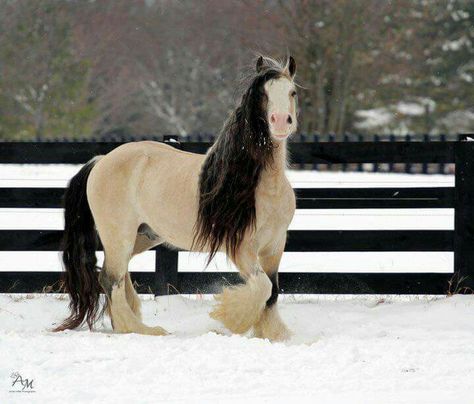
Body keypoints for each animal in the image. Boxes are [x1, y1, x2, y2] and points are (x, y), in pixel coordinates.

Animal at [55, 56, 298, 340]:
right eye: (263, 94)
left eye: (292, 92)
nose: (280, 121)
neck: (265, 190)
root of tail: (101, 160)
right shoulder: (242, 249)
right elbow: (262, 287)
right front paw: (230, 317)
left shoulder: (274, 246)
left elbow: (272, 292)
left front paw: (272, 334)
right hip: (118, 235)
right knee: (110, 278)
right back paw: (141, 329)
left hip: (143, 236)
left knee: (117, 273)